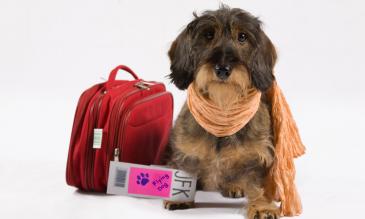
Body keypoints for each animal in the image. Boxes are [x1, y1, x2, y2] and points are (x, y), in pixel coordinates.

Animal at [164, 4, 278, 219]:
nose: (223, 69)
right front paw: (179, 196)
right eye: (208, 35)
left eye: (242, 36)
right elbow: (185, 171)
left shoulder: (257, 156)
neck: (223, 110)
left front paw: (261, 206)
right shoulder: (185, 151)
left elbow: (256, 184)